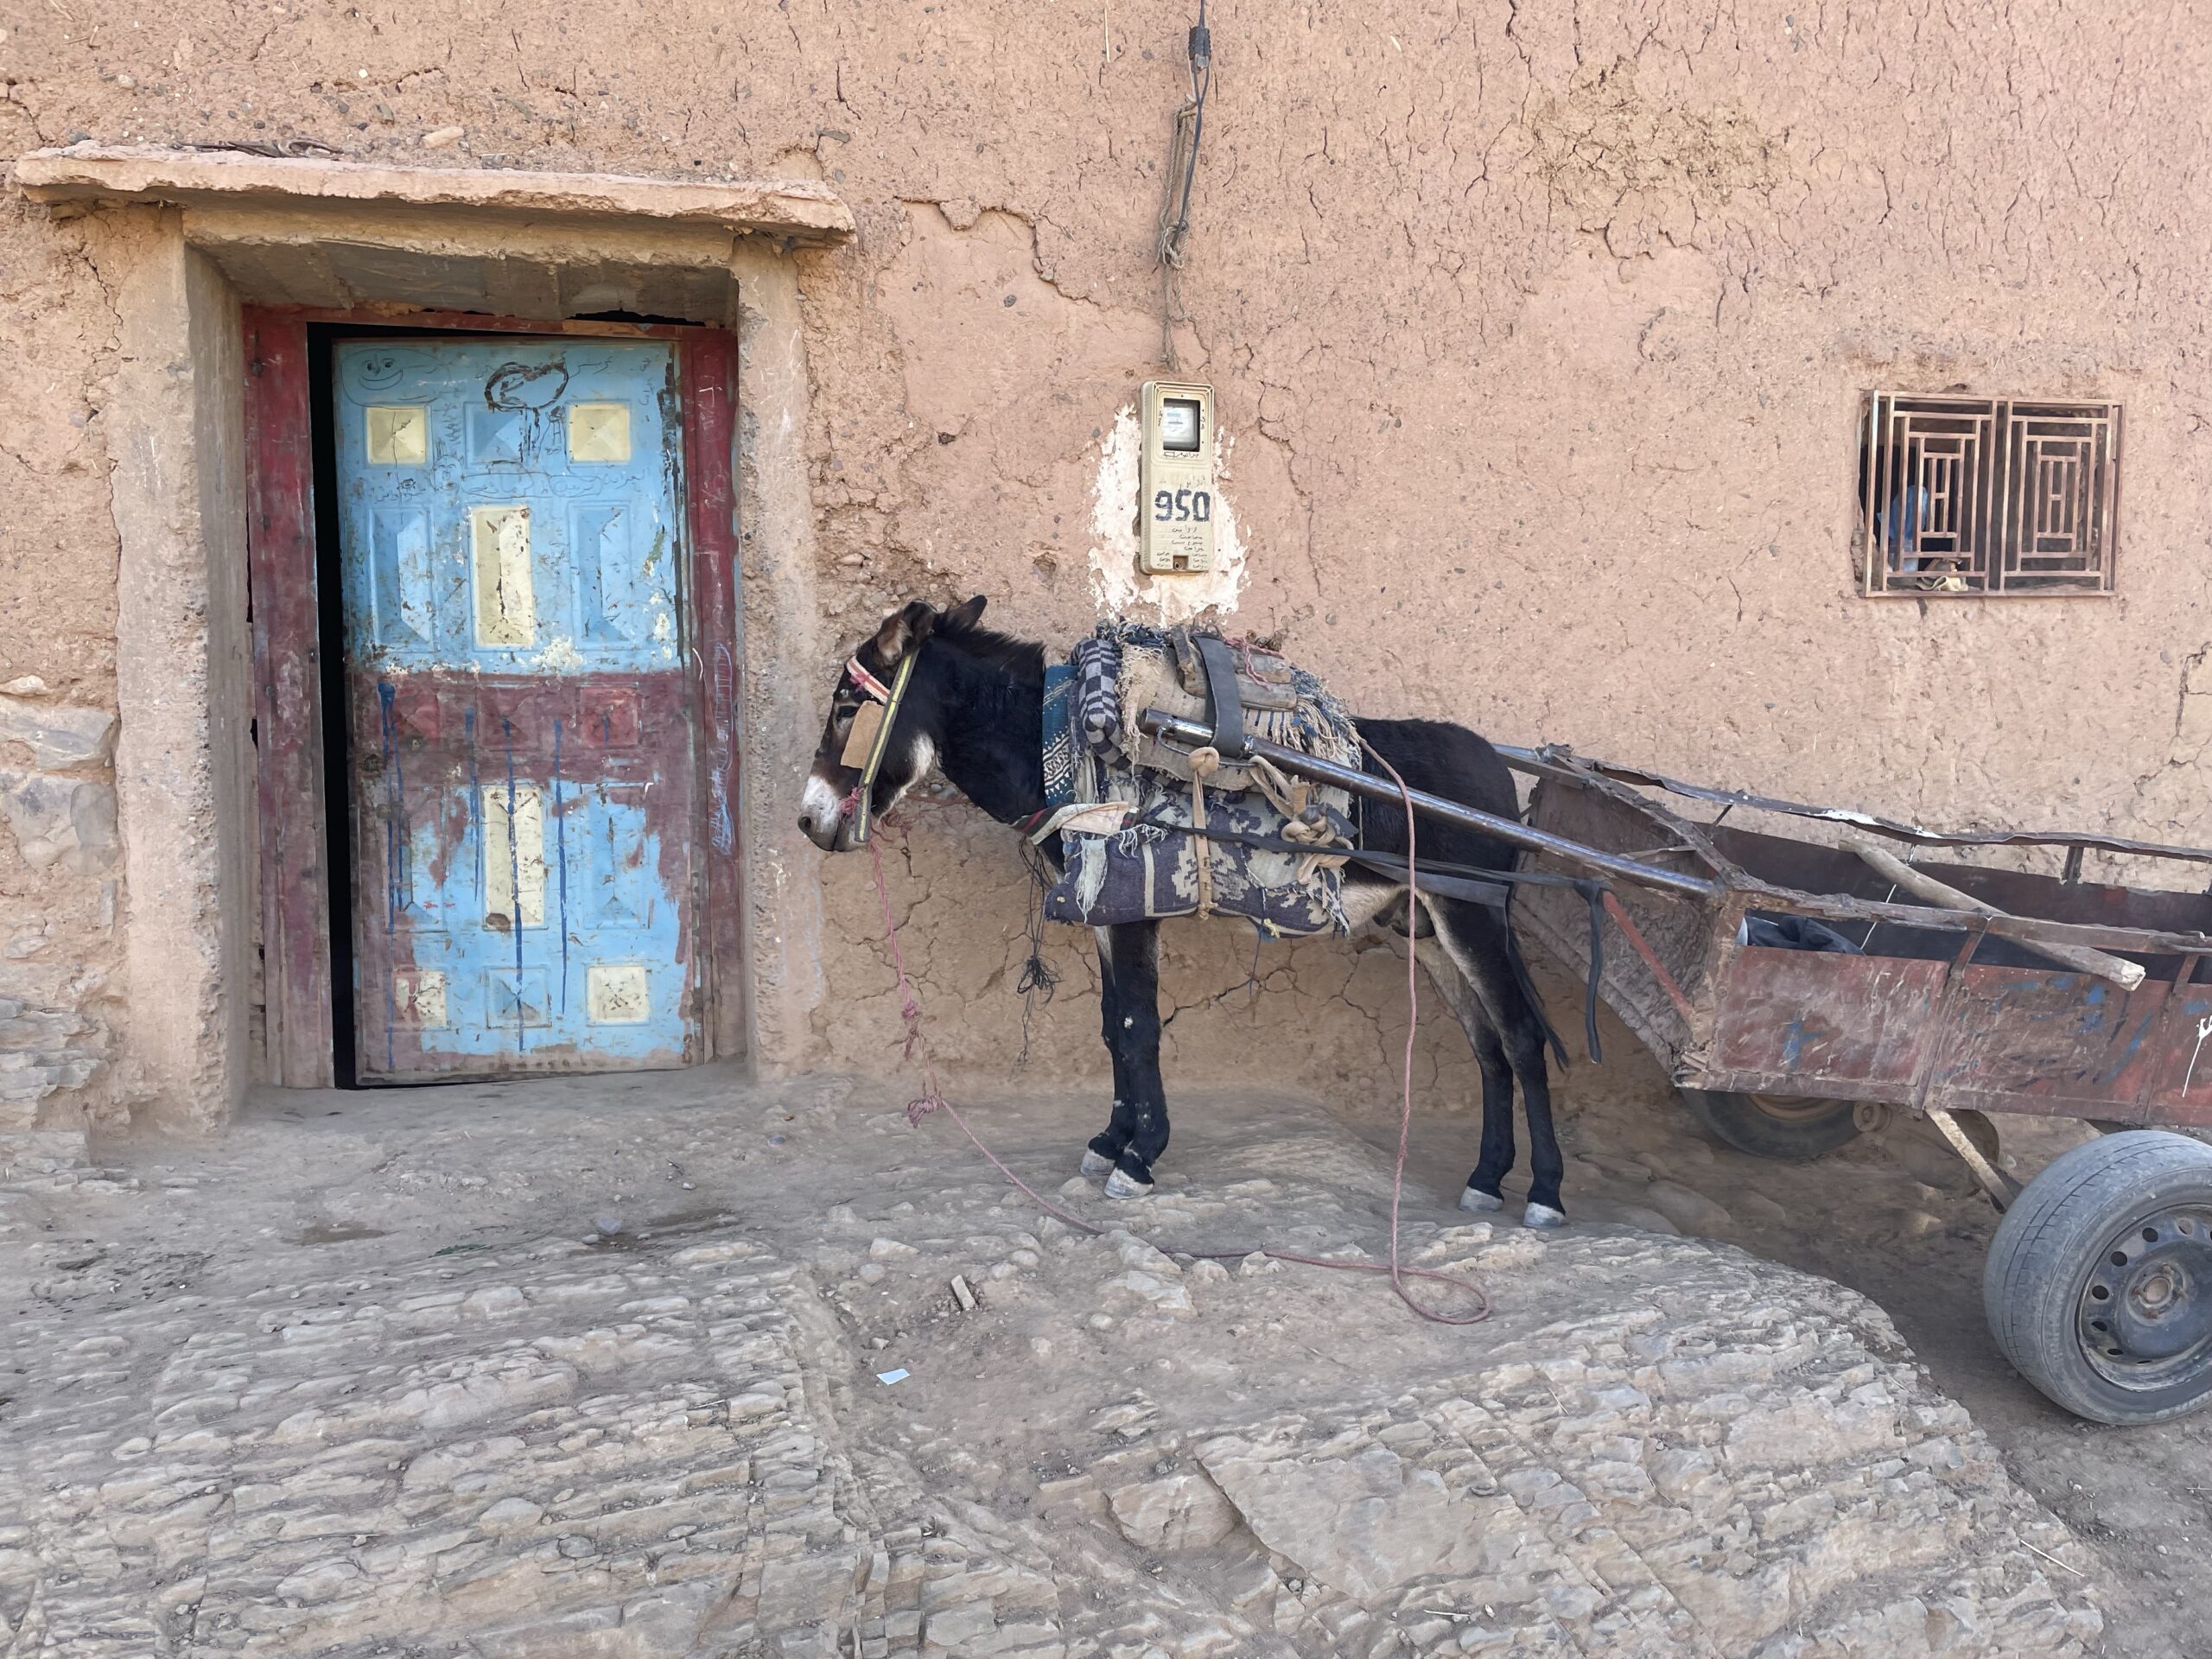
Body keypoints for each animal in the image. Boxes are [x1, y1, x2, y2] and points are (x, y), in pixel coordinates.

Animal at [797, 595, 1574, 1227]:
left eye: (845, 708)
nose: (806, 822)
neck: (1061, 747)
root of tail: (1497, 766)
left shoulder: (1133, 904)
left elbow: (1138, 1028)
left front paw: (1140, 1159)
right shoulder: (1106, 910)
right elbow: (1112, 1027)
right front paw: (1109, 1142)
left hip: (1472, 918)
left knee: (1520, 1038)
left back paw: (1544, 1193)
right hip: (1427, 928)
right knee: (1487, 1045)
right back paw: (1486, 1178)